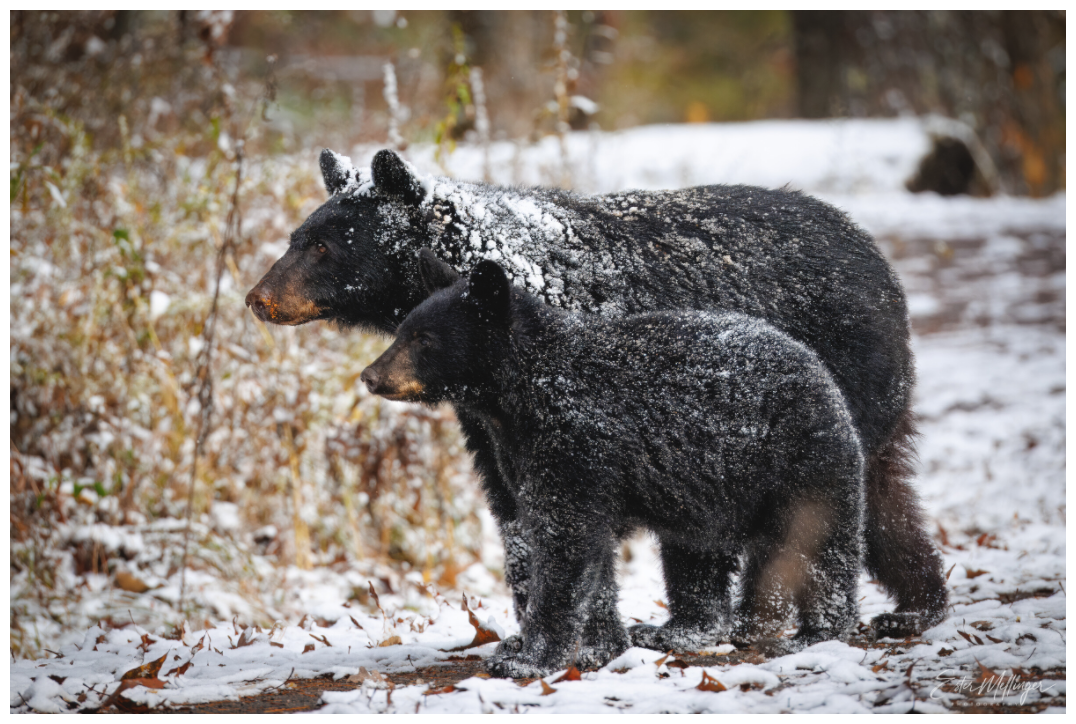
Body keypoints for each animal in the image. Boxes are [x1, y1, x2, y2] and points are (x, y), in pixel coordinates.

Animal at [360, 255, 867, 677]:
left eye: (423, 338)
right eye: (402, 330)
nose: (369, 376)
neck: (527, 390)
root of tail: (817, 368)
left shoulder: (575, 442)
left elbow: (564, 547)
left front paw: (529, 658)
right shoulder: (535, 457)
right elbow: (590, 556)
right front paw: (598, 647)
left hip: (799, 460)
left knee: (823, 546)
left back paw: (816, 633)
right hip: (702, 492)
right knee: (694, 554)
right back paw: (680, 631)